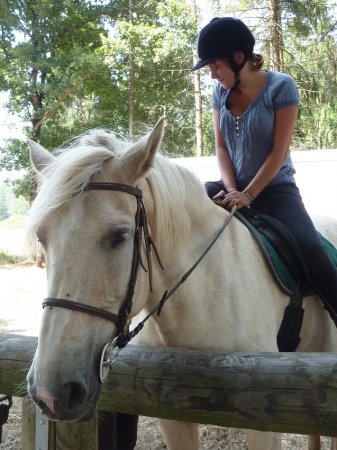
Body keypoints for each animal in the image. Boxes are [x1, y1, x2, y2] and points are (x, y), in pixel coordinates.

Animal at [25, 118, 336, 448]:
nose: (50, 392)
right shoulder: (172, 416)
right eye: (42, 238)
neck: (203, 293)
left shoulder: (262, 422)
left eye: (119, 236)